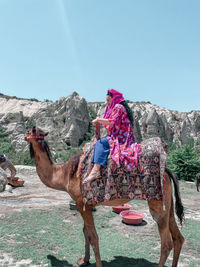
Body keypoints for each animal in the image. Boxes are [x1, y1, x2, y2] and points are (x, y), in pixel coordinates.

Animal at [24, 126, 184, 267]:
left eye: (29, 131)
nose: (24, 136)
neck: (64, 174)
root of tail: (166, 171)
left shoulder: (80, 202)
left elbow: (93, 236)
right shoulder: (86, 204)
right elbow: (86, 232)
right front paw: (84, 260)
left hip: (157, 203)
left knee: (166, 243)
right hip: (168, 203)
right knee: (178, 237)